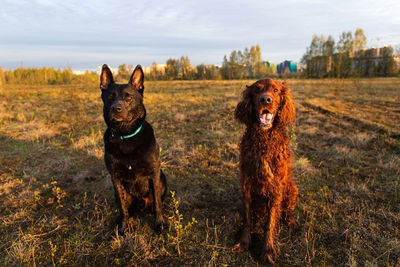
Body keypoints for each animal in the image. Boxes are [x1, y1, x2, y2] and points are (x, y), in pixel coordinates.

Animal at [102, 64, 168, 232]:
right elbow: (122, 206)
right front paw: (123, 226)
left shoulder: (153, 173)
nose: (116, 108)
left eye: (129, 97)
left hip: (162, 179)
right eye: (110, 96)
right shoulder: (115, 178)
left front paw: (159, 223)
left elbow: (158, 203)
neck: (127, 137)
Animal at [233, 78, 298, 264]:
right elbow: (248, 219)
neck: (263, 140)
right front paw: (244, 242)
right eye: (256, 90)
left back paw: (291, 222)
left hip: (292, 188)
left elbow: (270, 222)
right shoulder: (247, 183)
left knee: (286, 212)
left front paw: (267, 250)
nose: (266, 100)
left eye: (276, 90)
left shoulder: (276, 186)